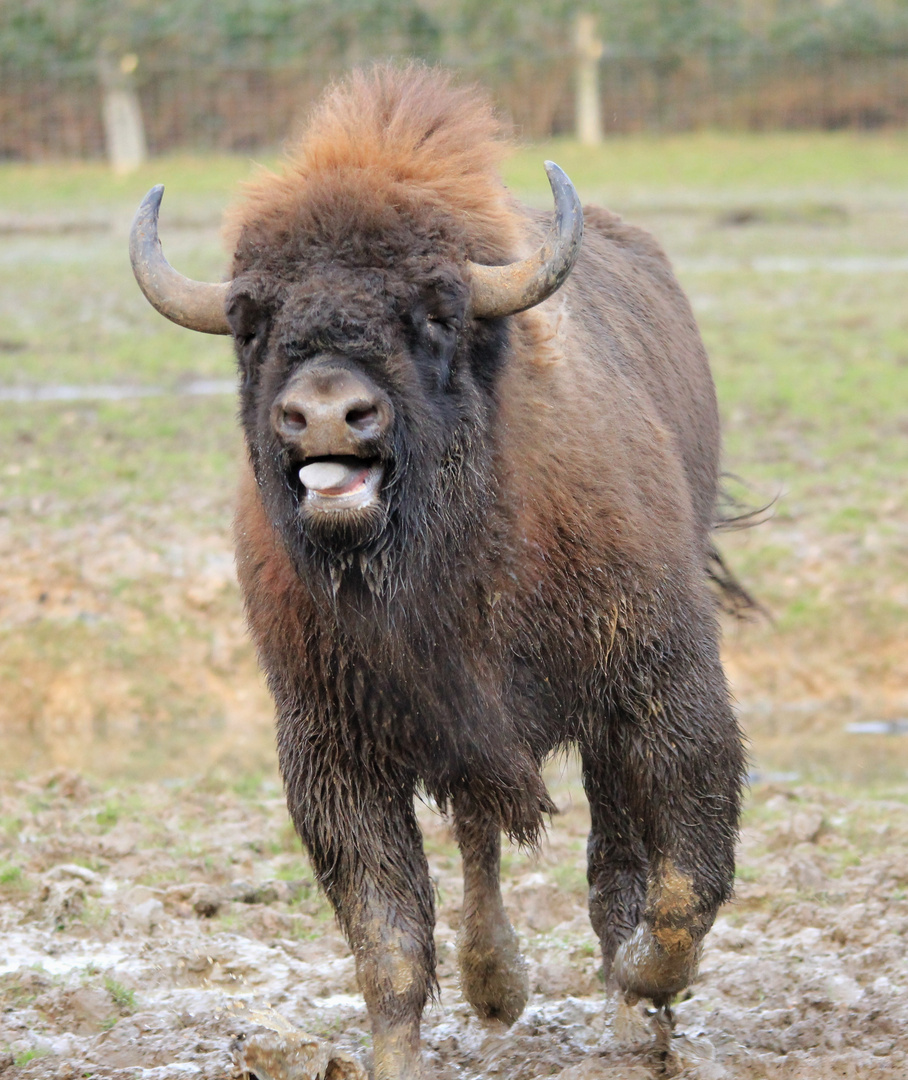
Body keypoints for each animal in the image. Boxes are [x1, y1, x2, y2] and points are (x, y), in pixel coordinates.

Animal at [131, 63, 747, 1075]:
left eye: (434, 313)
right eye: (252, 324)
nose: (326, 412)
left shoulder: (659, 692)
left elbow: (678, 885)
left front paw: (643, 990)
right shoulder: (337, 754)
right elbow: (389, 943)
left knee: (608, 863)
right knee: (479, 838)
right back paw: (497, 987)